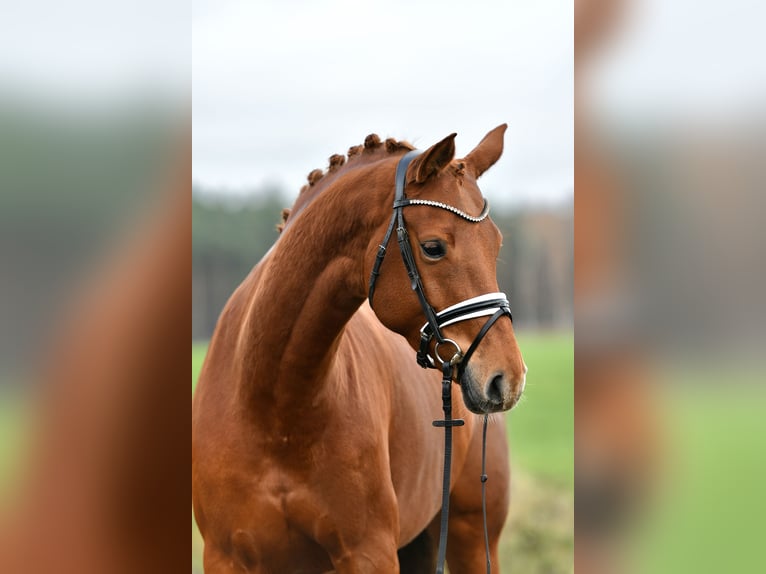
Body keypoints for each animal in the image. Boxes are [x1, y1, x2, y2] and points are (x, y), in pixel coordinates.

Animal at [192, 125, 527, 573]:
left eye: (496, 245)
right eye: (434, 247)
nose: (507, 377)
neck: (275, 406)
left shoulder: (369, 552)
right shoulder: (226, 557)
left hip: (472, 537)